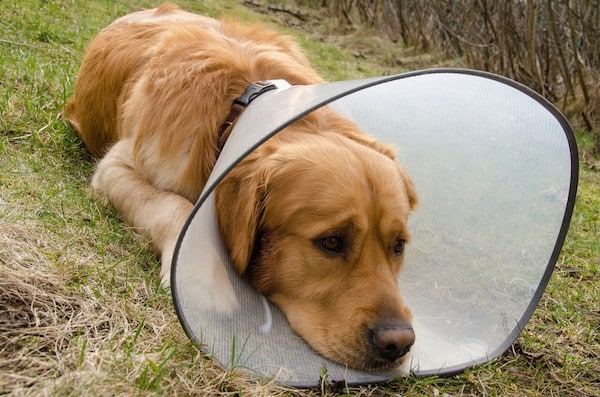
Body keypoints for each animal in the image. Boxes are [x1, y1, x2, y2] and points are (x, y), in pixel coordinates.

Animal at [64, 3, 418, 372]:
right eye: (332, 242)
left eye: (398, 246)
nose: (399, 343)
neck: (245, 100)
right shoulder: (113, 168)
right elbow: (175, 207)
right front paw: (200, 276)